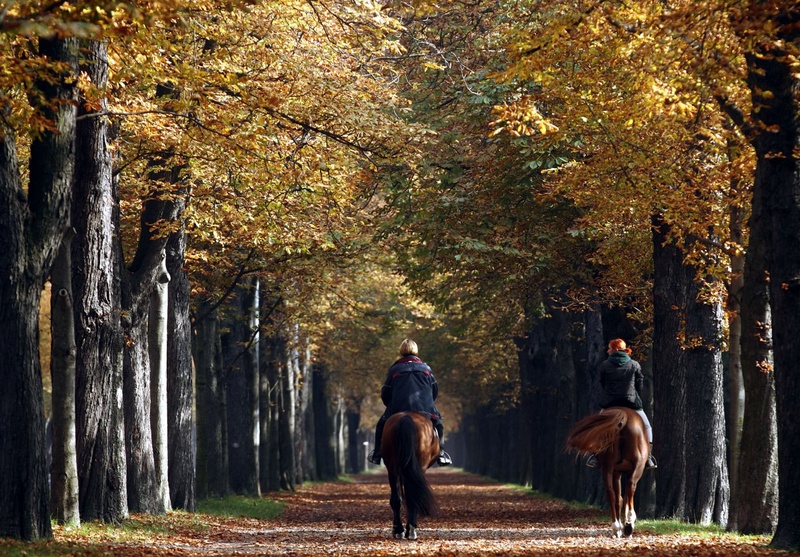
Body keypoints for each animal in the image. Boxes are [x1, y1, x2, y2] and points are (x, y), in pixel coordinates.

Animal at [564, 406, 648, 536]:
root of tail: (624, 416)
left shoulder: (616, 472)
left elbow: (619, 498)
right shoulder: (621, 471)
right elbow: (623, 497)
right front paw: (628, 522)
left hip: (607, 467)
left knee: (611, 492)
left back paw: (617, 527)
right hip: (637, 465)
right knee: (630, 486)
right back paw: (628, 524)